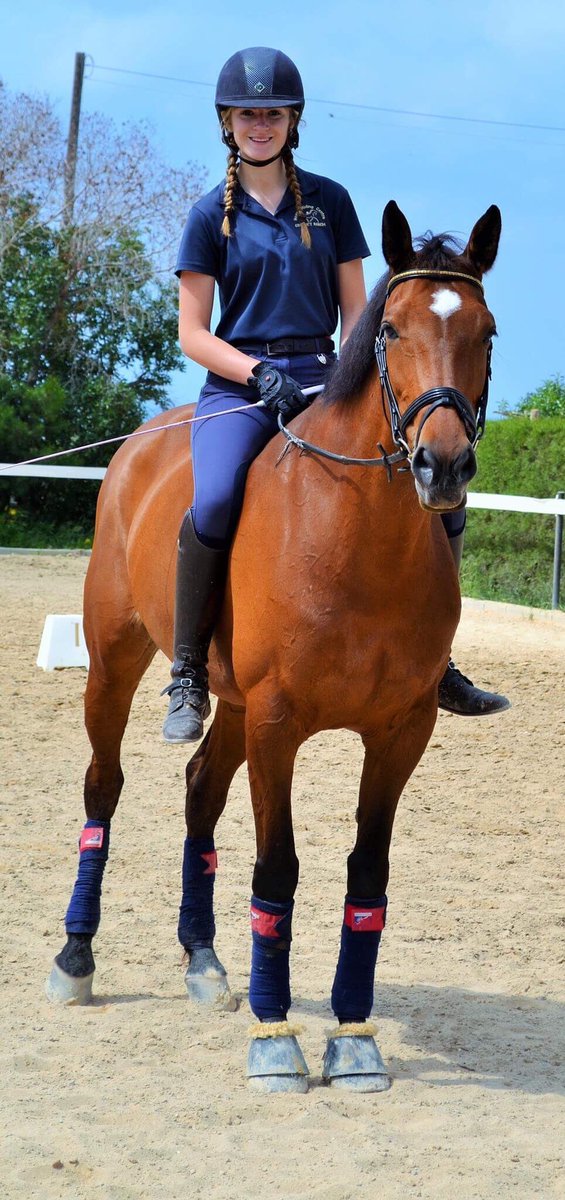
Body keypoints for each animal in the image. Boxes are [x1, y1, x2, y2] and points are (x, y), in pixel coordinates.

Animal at [45, 200, 501, 1093]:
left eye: (487, 332)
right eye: (390, 329)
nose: (442, 466)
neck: (359, 541)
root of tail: (147, 440)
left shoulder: (400, 732)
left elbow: (367, 874)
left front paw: (353, 1036)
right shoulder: (278, 725)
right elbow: (277, 872)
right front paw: (276, 1037)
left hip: (231, 703)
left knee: (198, 790)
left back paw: (202, 962)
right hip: (116, 662)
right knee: (103, 789)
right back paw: (76, 957)